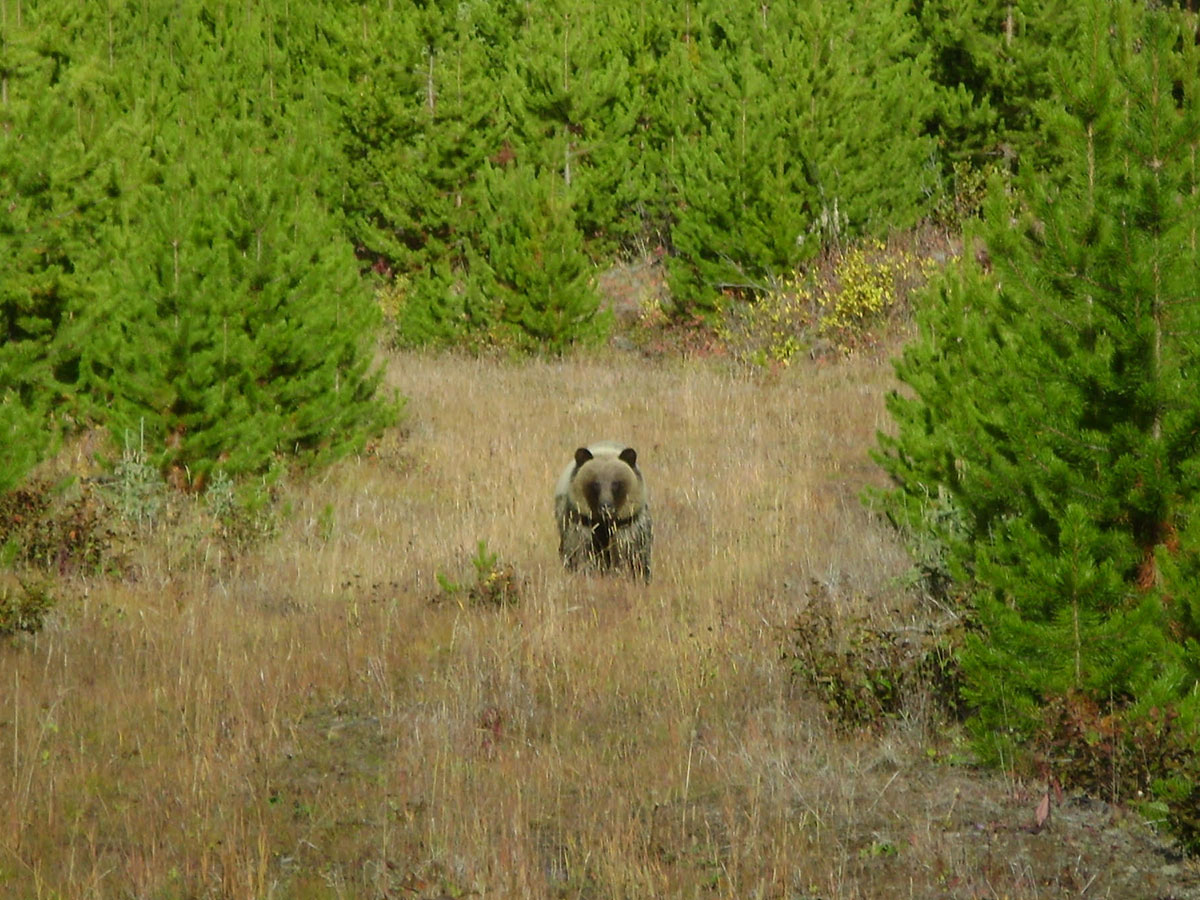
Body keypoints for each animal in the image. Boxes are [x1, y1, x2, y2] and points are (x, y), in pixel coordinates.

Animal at [554, 441, 652, 580]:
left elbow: (630, 554)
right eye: (595, 484)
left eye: (616, 483)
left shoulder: (627, 525)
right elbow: (582, 554)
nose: (606, 507)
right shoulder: (582, 524)